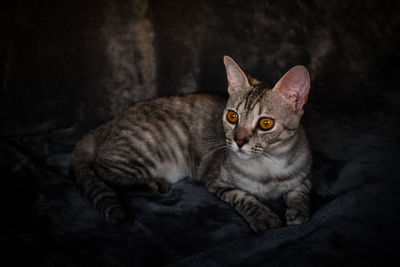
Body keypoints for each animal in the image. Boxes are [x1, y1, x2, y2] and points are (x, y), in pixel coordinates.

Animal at [70, 56, 310, 234]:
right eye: (232, 116)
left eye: (265, 123)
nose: (239, 141)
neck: (269, 168)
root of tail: (109, 123)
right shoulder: (215, 180)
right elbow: (243, 197)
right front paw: (263, 216)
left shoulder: (305, 172)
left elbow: (301, 190)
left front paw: (298, 212)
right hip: (147, 151)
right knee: (101, 169)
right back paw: (152, 182)